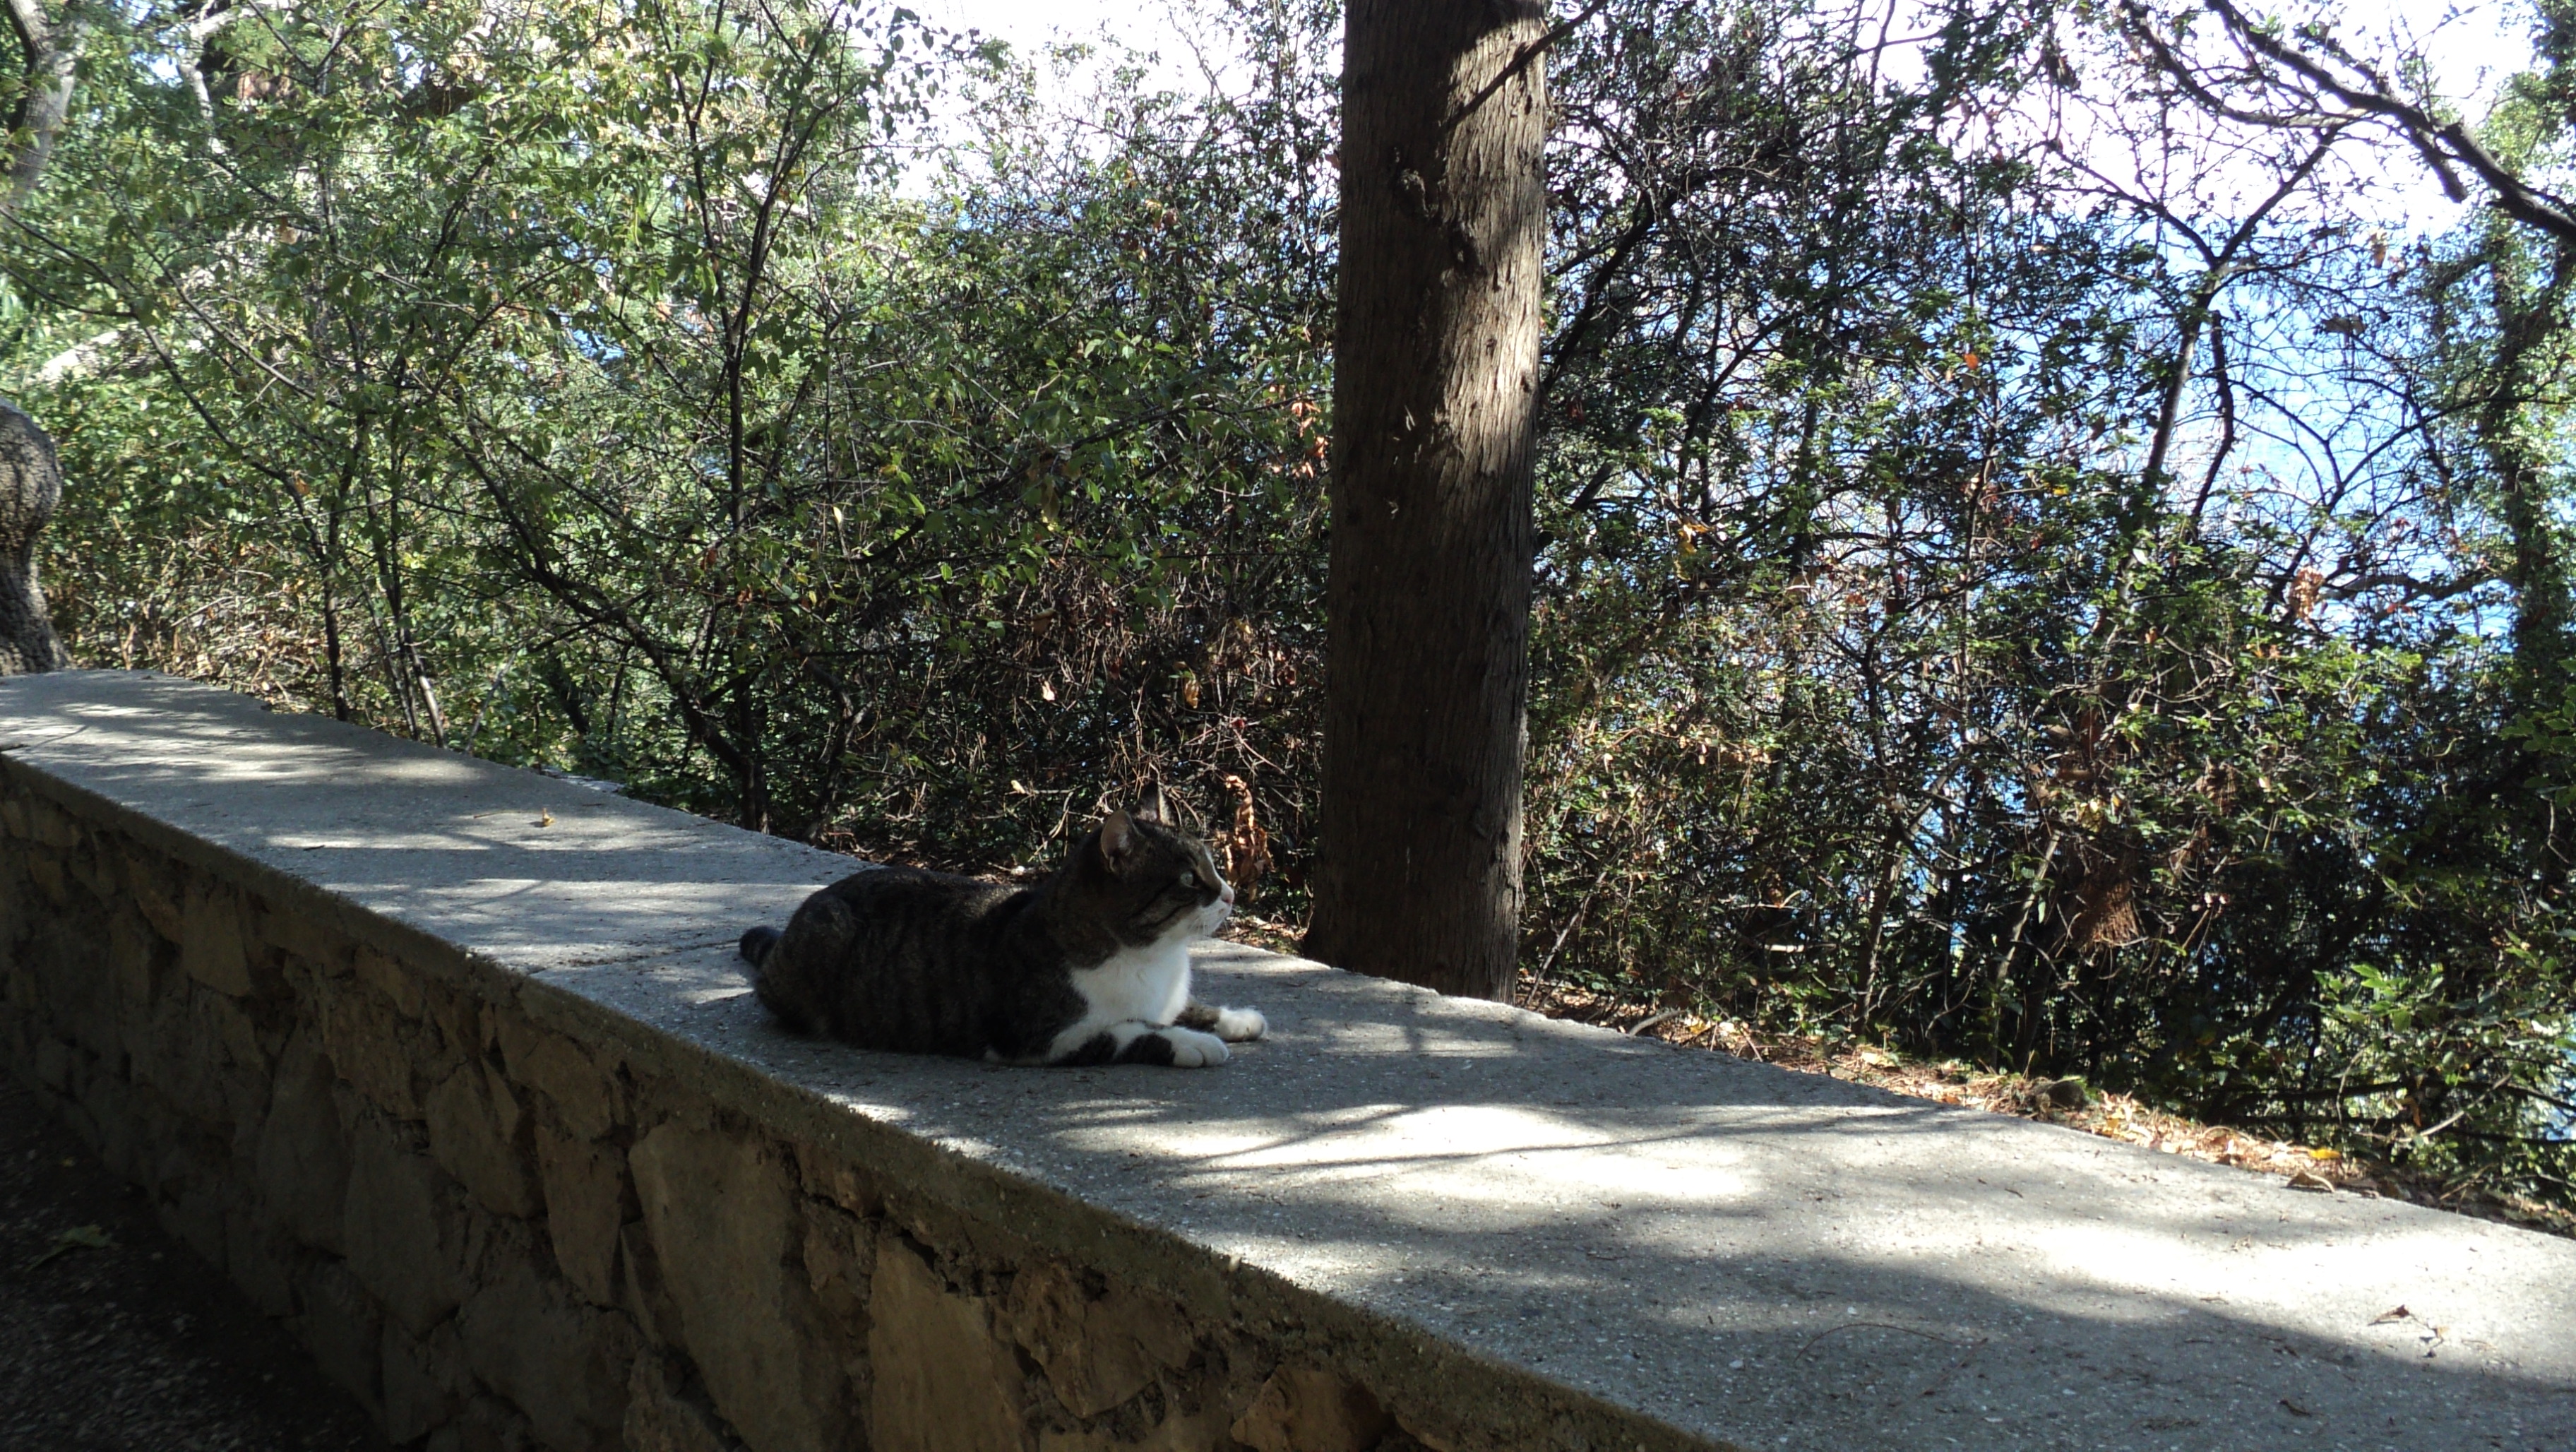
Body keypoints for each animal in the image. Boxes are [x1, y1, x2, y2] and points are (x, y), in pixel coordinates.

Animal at [737, 790, 1268, 1067]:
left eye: (1213, 865)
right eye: (1189, 880)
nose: (1229, 894)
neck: (1154, 959)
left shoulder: (1170, 998)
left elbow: (1189, 1008)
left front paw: (1237, 1018)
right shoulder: (1043, 1038)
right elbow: (1133, 1031)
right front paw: (1194, 1043)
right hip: (825, 942)